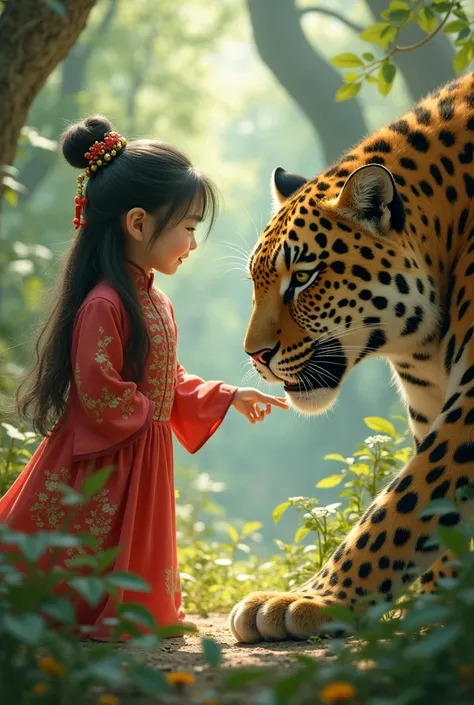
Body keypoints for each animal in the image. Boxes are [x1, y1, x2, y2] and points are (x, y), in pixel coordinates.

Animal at [229, 70, 474, 644]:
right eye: (256, 281)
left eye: (303, 277)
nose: (256, 355)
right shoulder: (430, 405)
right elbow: (438, 518)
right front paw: (439, 612)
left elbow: (402, 506)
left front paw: (312, 599)